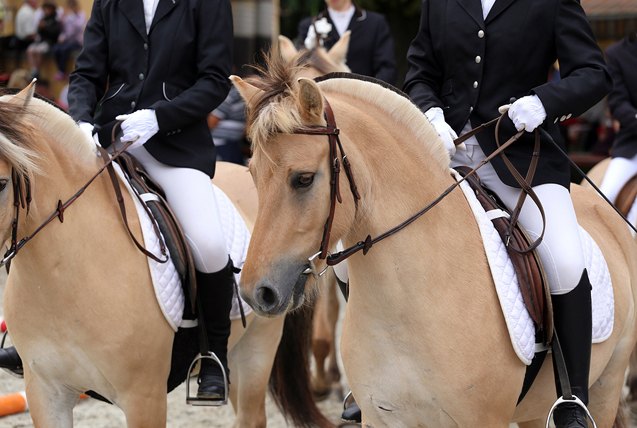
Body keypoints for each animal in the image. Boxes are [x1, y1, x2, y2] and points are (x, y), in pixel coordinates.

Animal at [231, 54, 636, 428]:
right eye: (252, 174)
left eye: (303, 179)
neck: (408, 301)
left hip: (607, 383)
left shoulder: (482, 419)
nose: (256, 293)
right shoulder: (382, 417)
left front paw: (525, 112)